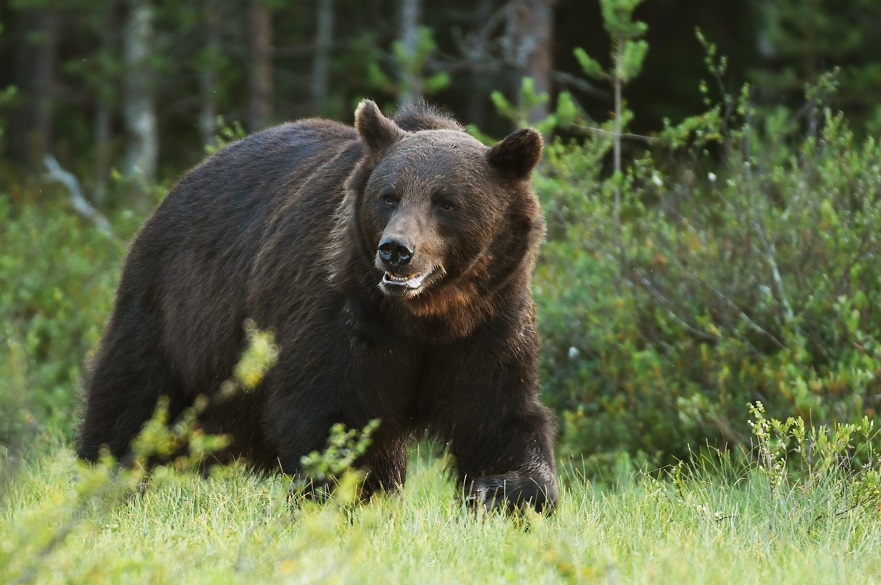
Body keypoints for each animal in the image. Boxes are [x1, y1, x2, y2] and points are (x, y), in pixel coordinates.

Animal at [77, 99, 556, 512]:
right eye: (389, 196)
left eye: (447, 202)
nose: (395, 250)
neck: (426, 314)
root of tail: (181, 183)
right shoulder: (342, 314)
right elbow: (333, 412)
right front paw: (349, 492)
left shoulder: (489, 322)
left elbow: (499, 416)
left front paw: (503, 491)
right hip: (177, 306)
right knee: (134, 393)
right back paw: (104, 475)